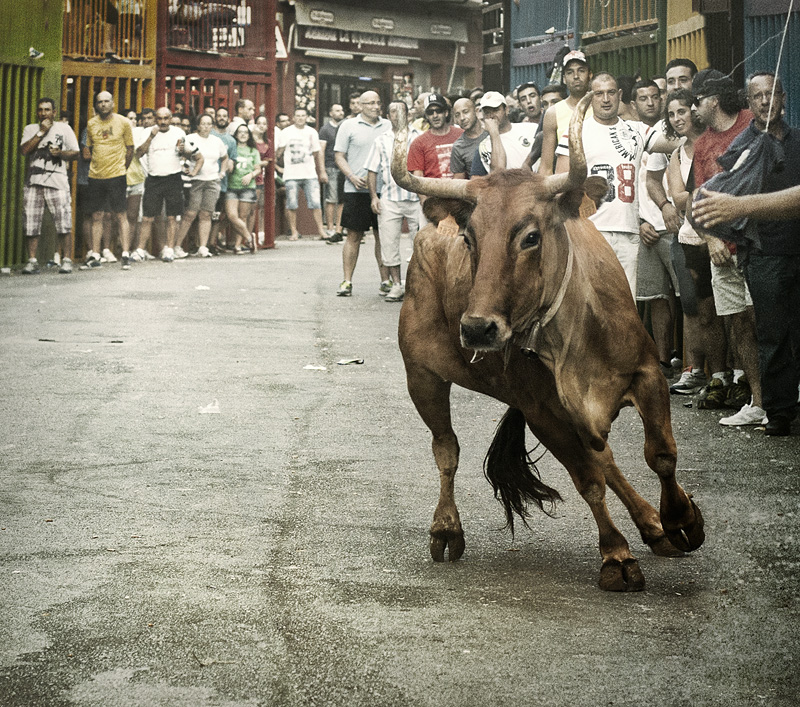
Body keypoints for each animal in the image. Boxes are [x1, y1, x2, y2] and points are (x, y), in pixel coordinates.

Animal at [390, 94, 704, 592]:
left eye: (531, 236)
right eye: (469, 237)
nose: (477, 329)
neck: (574, 338)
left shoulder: (648, 373)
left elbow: (660, 455)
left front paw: (680, 520)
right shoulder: (543, 412)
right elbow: (588, 479)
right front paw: (616, 555)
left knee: (606, 456)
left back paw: (653, 525)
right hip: (421, 376)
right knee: (446, 449)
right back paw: (446, 528)